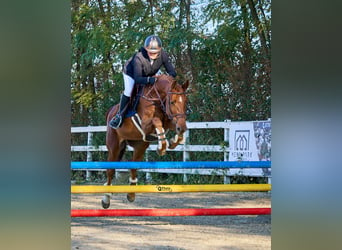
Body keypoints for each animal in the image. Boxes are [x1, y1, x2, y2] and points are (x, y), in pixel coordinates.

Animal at [101, 74, 190, 209]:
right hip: (114, 145)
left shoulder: (169, 121)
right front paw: (161, 147)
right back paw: (106, 198)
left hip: (140, 146)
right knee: (110, 170)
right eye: (172, 102)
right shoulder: (145, 125)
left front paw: (173, 141)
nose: (183, 128)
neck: (156, 98)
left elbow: (172, 128)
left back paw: (131, 194)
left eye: (185, 102)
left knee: (133, 167)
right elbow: (156, 121)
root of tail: (111, 111)